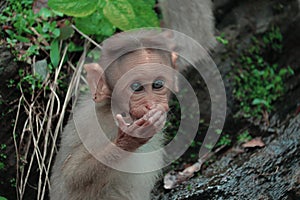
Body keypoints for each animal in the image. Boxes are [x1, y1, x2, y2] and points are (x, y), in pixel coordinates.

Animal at [49, 30, 178, 200]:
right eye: (136, 87)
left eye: (158, 84)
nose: (151, 104)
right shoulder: (99, 124)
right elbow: (71, 176)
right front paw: (129, 139)